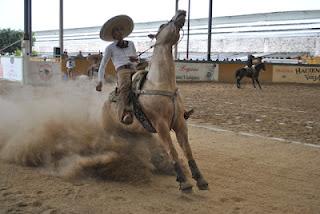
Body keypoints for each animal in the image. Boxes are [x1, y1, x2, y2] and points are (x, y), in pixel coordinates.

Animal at [101, 9, 209, 192]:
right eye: (162, 25)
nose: (181, 11)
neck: (161, 84)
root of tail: (104, 104)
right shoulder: (161, 125)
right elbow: (172, 150)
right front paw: (184, 181)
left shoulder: (180, 123)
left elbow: (187, 150)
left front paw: (200, 179)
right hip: (111, 131)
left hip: (135, 133)